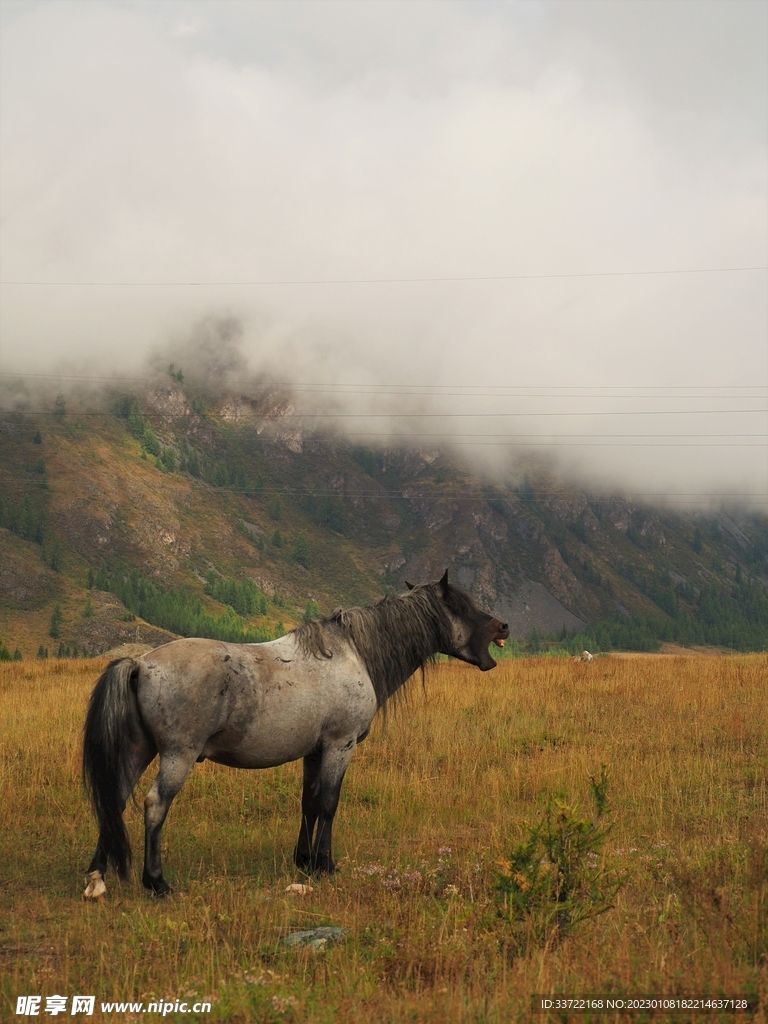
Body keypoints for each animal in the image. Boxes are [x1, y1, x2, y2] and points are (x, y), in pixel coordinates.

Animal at [81, 571, 509, 898]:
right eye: (462, 606)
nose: (503, 625)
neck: (353, 654)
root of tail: (141, 664)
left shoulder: (314, 751)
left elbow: (309, 802)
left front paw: (303, 861)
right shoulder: (339, 746)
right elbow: (329, 803)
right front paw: (325, 864)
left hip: (139, 752)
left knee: (115, 801)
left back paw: (97, 878)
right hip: (177, 755)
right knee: (155, 805)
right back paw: (156, 882)